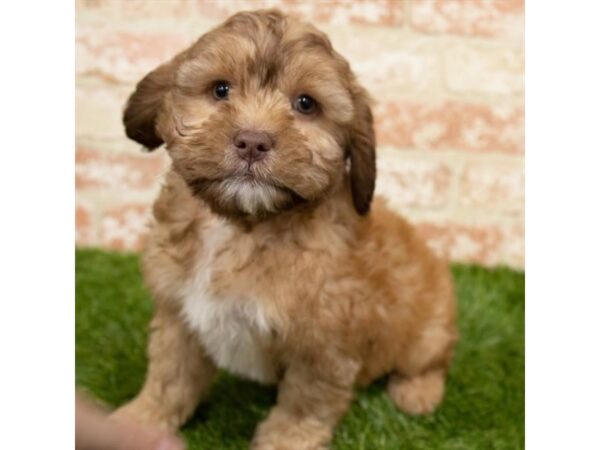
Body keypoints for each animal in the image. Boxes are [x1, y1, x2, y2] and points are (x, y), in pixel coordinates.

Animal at [115, 8, 458, 448]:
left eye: (306, 104)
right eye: (221, 90)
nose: (252, 141)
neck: (242, 225)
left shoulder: (323, 343)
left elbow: (305, 401)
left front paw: (285, 439)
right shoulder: (180, 314)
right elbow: (168, 376)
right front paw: (140, 421)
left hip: (428, 328)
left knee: (430, 361)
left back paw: (418, 392)